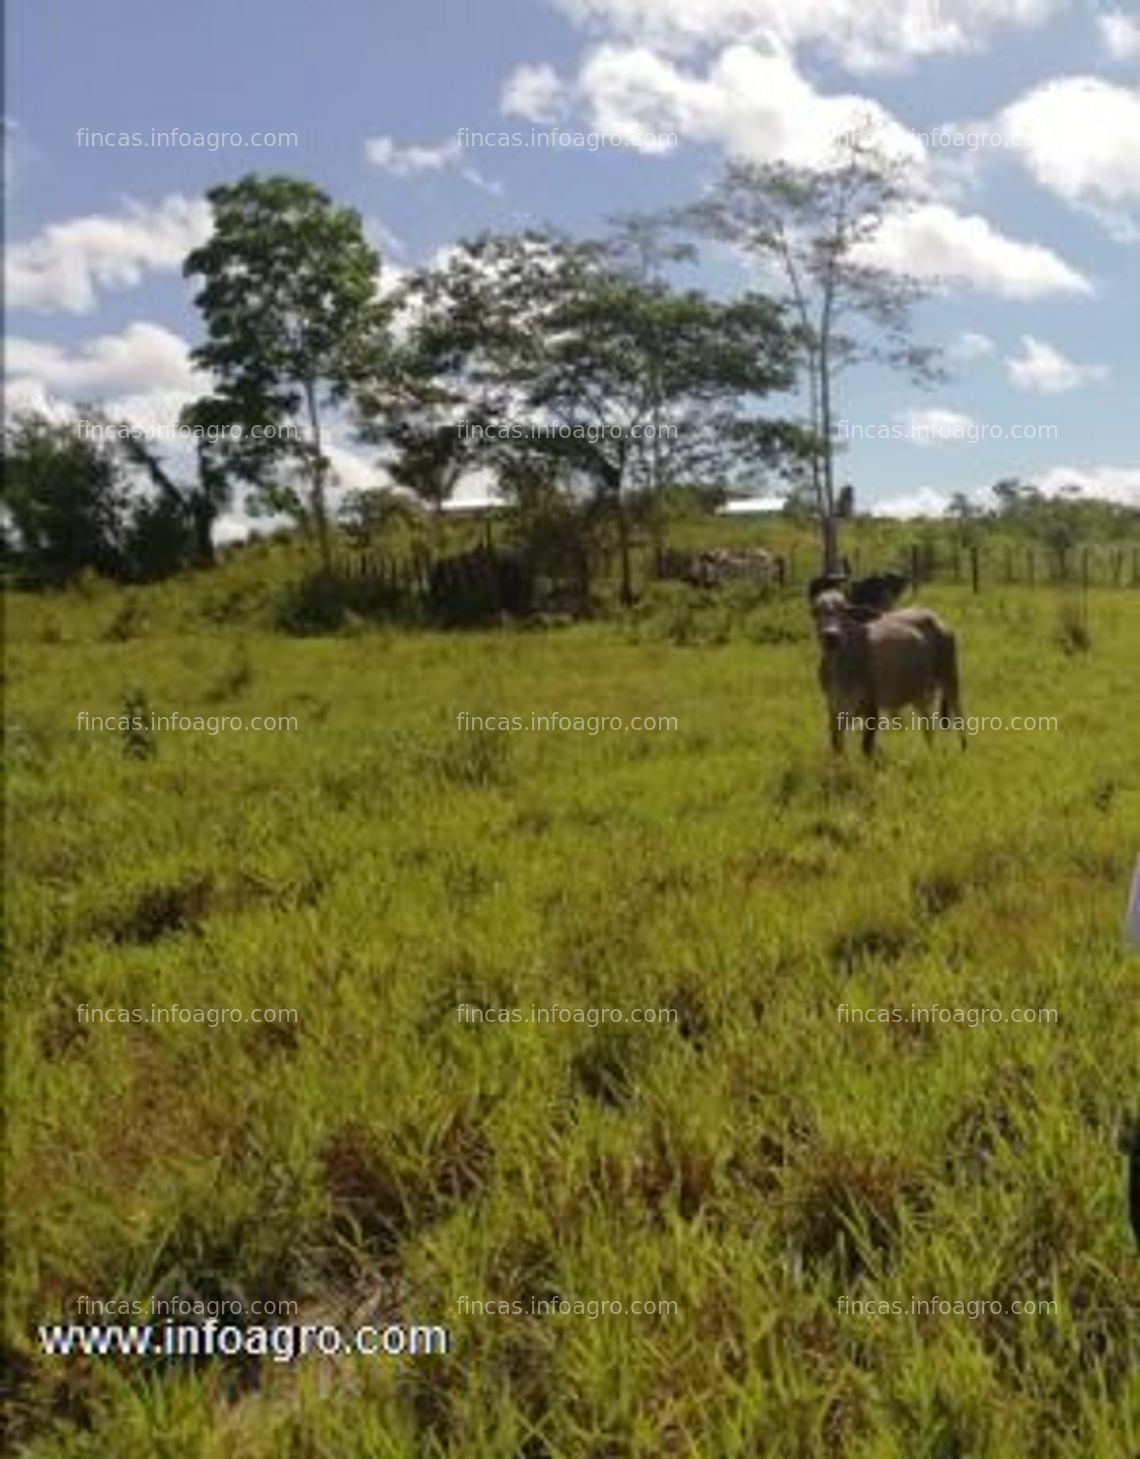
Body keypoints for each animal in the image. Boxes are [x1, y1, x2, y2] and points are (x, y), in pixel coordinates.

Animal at [811, 586, 963, 758]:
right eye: (814, 612)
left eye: (845, 611)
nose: (831, 636)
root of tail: (935, 618)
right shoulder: (834, 706)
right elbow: (837, 743)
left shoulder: (871, 706)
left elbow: (866, 747)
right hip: (920, 693)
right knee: (928, 726)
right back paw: (931, 752)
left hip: (949, 676)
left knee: (958, 715)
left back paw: (964, 748)